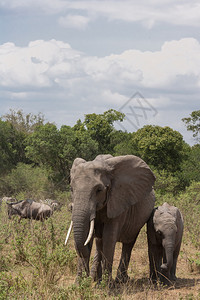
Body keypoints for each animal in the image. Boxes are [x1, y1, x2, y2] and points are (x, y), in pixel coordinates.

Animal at [65, 155, 156, 284]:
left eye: (99, 190)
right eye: (71, 189)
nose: (86, 277)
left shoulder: (118, 201)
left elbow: (109, 238)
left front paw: (106, 285)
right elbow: (90, 237)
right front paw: (79, 284)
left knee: (128, 243)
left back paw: (119, 280)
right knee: (99, 243)